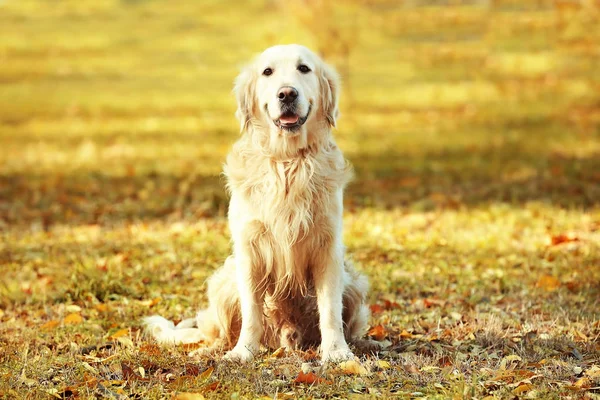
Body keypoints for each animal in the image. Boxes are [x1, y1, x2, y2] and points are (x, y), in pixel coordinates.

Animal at [144, 44, 372, 362]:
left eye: (304, 68)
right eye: (267, 72)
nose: (287, 94)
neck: (287, 162)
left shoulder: (327, 248)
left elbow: (330, 311)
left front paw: (337, 353)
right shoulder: (250, 249)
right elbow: (251, 313)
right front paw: (243, 353)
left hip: (353, 284)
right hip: (223, 283)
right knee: (218, 333)